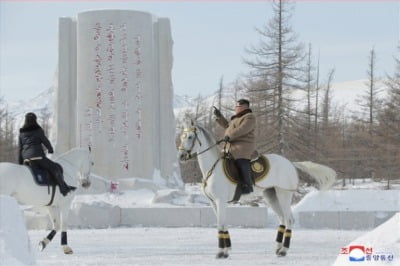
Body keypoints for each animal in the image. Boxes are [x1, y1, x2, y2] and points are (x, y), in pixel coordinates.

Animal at [178, 120, 338, 258]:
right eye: (182, 137)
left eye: (190, 136)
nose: (180, 155)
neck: (213, 168)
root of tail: (290, 163)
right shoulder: (213, 202)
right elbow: (221, 225)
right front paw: (226, 249)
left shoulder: (220, 201)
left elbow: (220, 224)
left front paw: (222, 252)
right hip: (271, 196)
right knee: (282, 218)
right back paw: (278, 247)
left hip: (283, 195)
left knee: (289, 219)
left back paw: (284, 250)